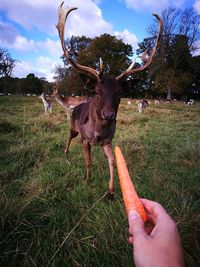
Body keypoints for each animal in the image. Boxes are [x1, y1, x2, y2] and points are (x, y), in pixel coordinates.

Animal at [56, 1, 162, 199]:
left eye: (119, 93)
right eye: (97, 92)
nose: (108, 114)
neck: (97, 134)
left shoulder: (107, 141)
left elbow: (113, 161)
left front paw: (111, 192)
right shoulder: (85, 140)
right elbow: (88, 161)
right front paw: (87, 179)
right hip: (73, 126)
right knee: (69, 137)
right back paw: (65, 153)